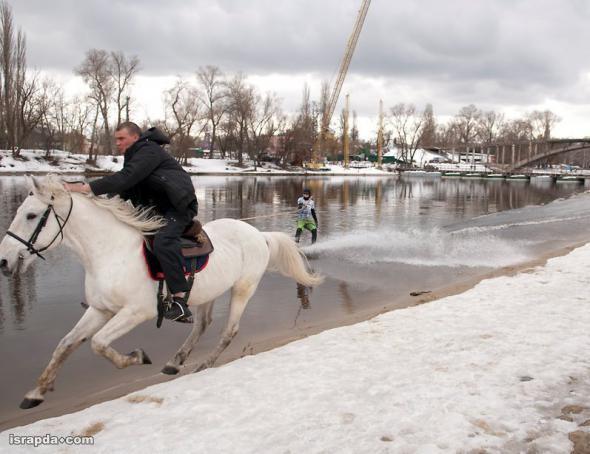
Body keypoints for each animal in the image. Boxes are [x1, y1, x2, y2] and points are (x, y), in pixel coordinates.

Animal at [0, 176, 324, 410]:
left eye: (31, 215)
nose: (4, 261)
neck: (111, 252)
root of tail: (260, 235)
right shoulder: (100, 309)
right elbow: (66, 345)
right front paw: (36, 392)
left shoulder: (136, 312)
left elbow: (99, 343)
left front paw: (137, 356)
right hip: (209, 292)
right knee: (202, 325)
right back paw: (175, 362)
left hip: (242, 289)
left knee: (228, 331)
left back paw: (203, 365)